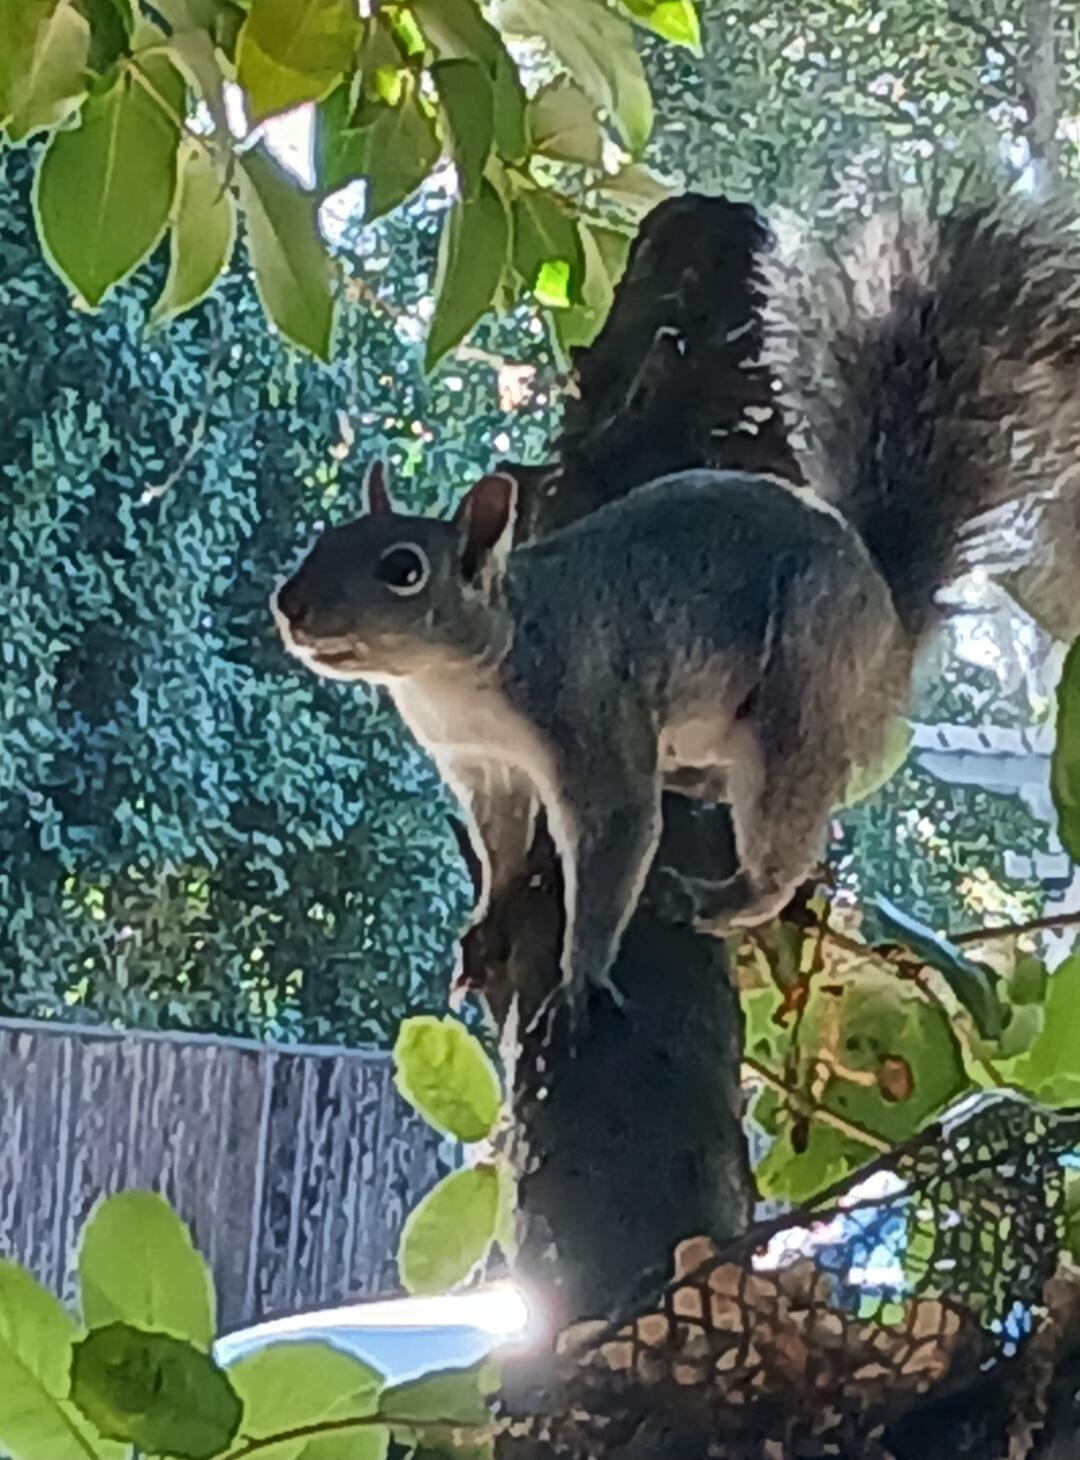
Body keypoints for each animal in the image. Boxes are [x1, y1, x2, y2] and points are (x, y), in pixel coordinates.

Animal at [272, 192, 1080, 1009]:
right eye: (324, 538)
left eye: (403, 569)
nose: (289, 607)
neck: (461, 675)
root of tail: (889, 621)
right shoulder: (483, 768)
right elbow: (501, 857)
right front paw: (486, 928)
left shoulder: (587, 715)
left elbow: (617, 839)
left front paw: (581, 977)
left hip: (807, 685)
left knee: (782, 846)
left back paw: (724, 897)